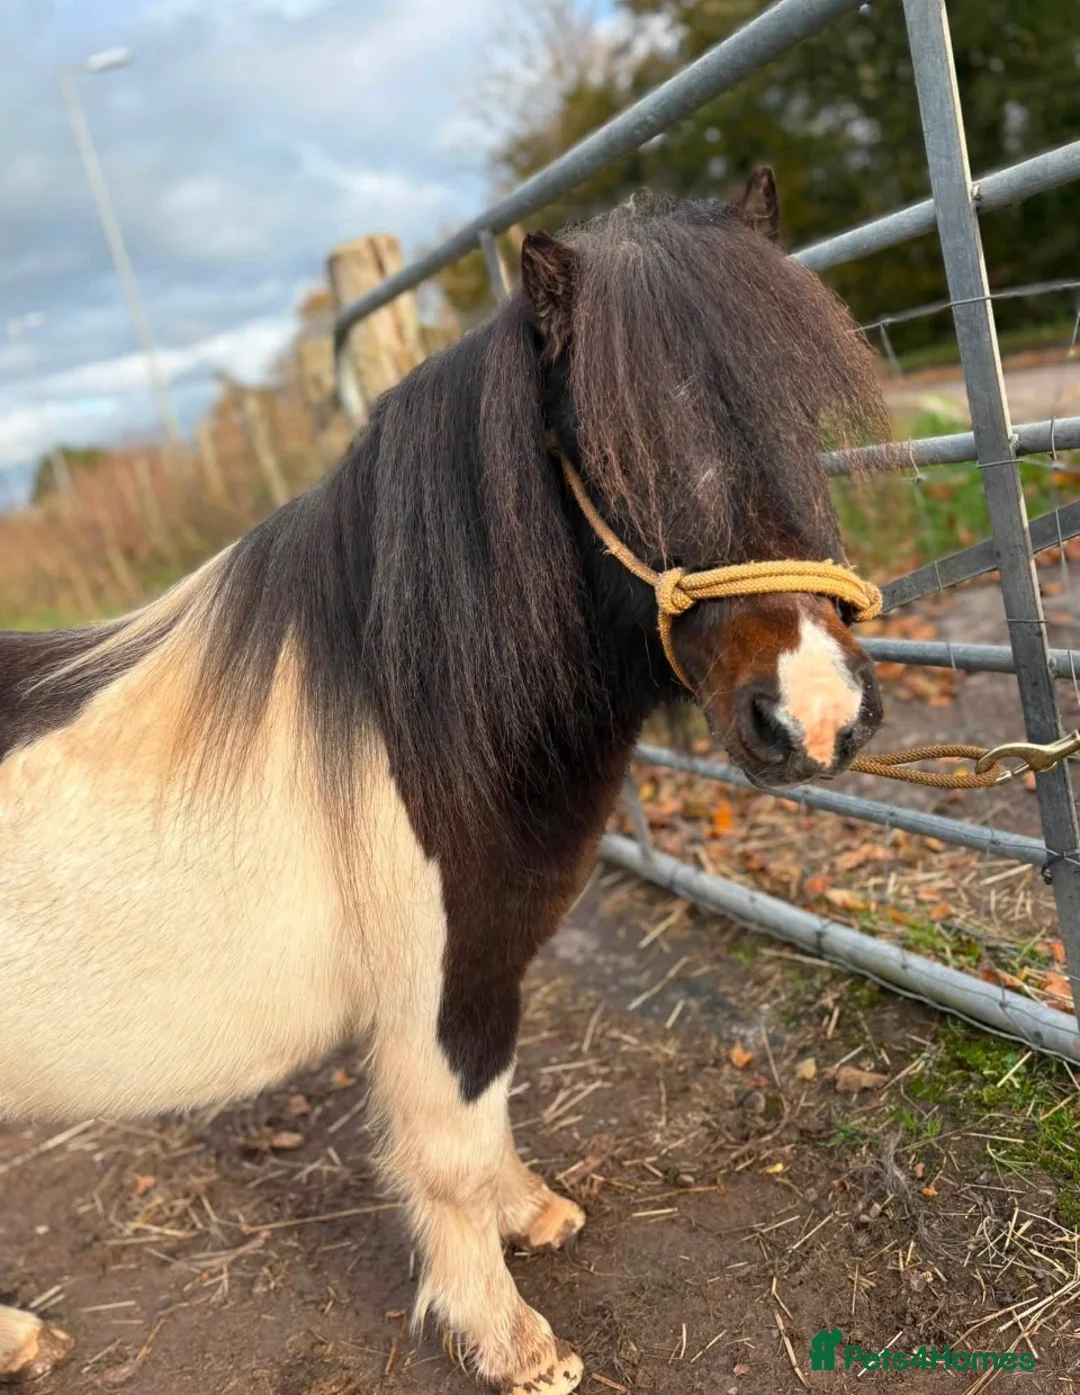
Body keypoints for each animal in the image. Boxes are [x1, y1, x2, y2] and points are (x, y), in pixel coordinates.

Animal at [0, 170, 892, 1393]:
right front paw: (511, 1340)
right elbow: (452, 1147)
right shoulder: (438, 982)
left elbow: (494, 1112)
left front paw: (534, 1216)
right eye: (612, 446)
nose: (815, 715)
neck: (403, 712)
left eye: (804, 416)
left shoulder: (489, 972)